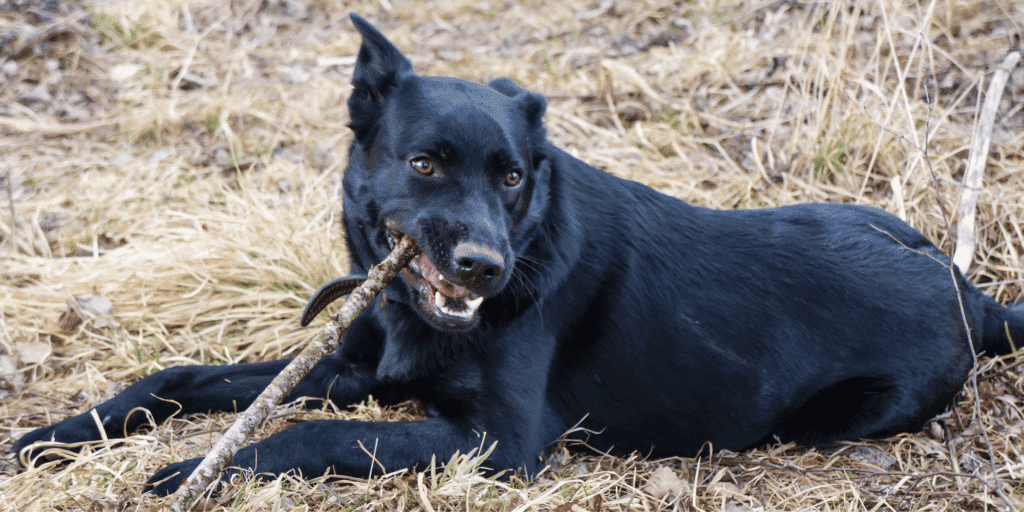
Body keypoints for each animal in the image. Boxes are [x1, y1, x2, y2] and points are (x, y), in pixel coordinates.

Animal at [16, 14, 1024, 495]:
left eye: (511, 176)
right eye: (424, 163)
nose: (484, 269)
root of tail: (974, 296)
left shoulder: (495, 441)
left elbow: (310, 434)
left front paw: (195, 471)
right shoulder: (351, 368)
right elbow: (178, 377)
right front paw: (56, 434)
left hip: (839, 414)